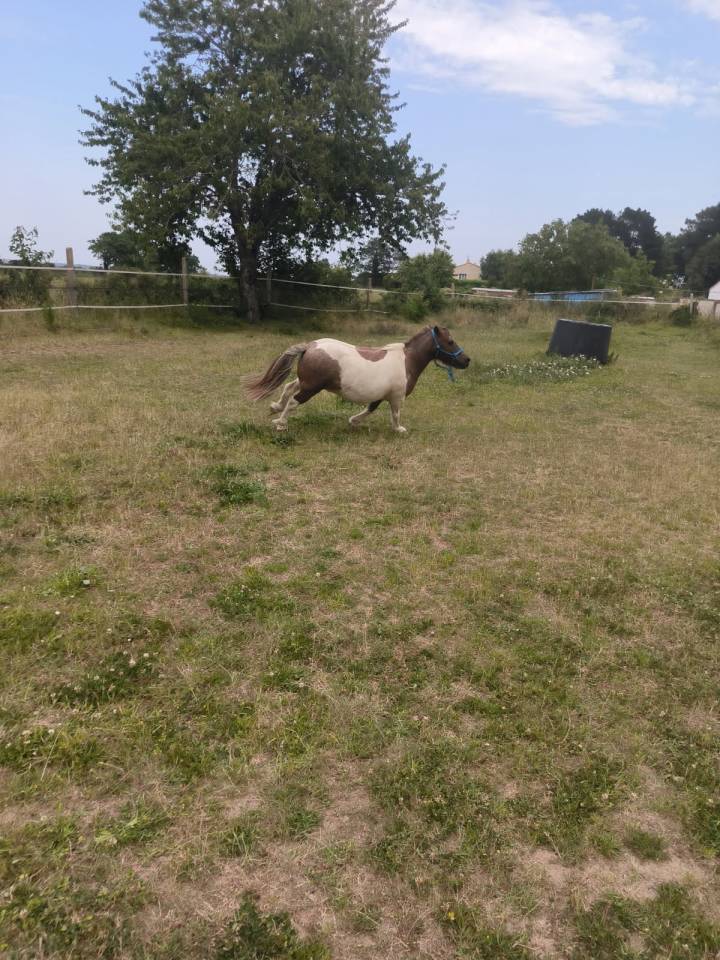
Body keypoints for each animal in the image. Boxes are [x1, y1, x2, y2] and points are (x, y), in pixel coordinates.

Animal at [244, 325, 470, 433]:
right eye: (450, 342)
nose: (466, 360)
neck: (407, 361)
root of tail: (310, 346)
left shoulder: (380, 395)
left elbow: (370, 409)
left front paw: (353, 421)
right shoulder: (396, 397)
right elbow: (395, 415)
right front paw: (398, 429)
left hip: (306, 382)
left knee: (288, 388)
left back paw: (275, 407)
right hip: (312, 387)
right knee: (293, 401)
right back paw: (280, 423)